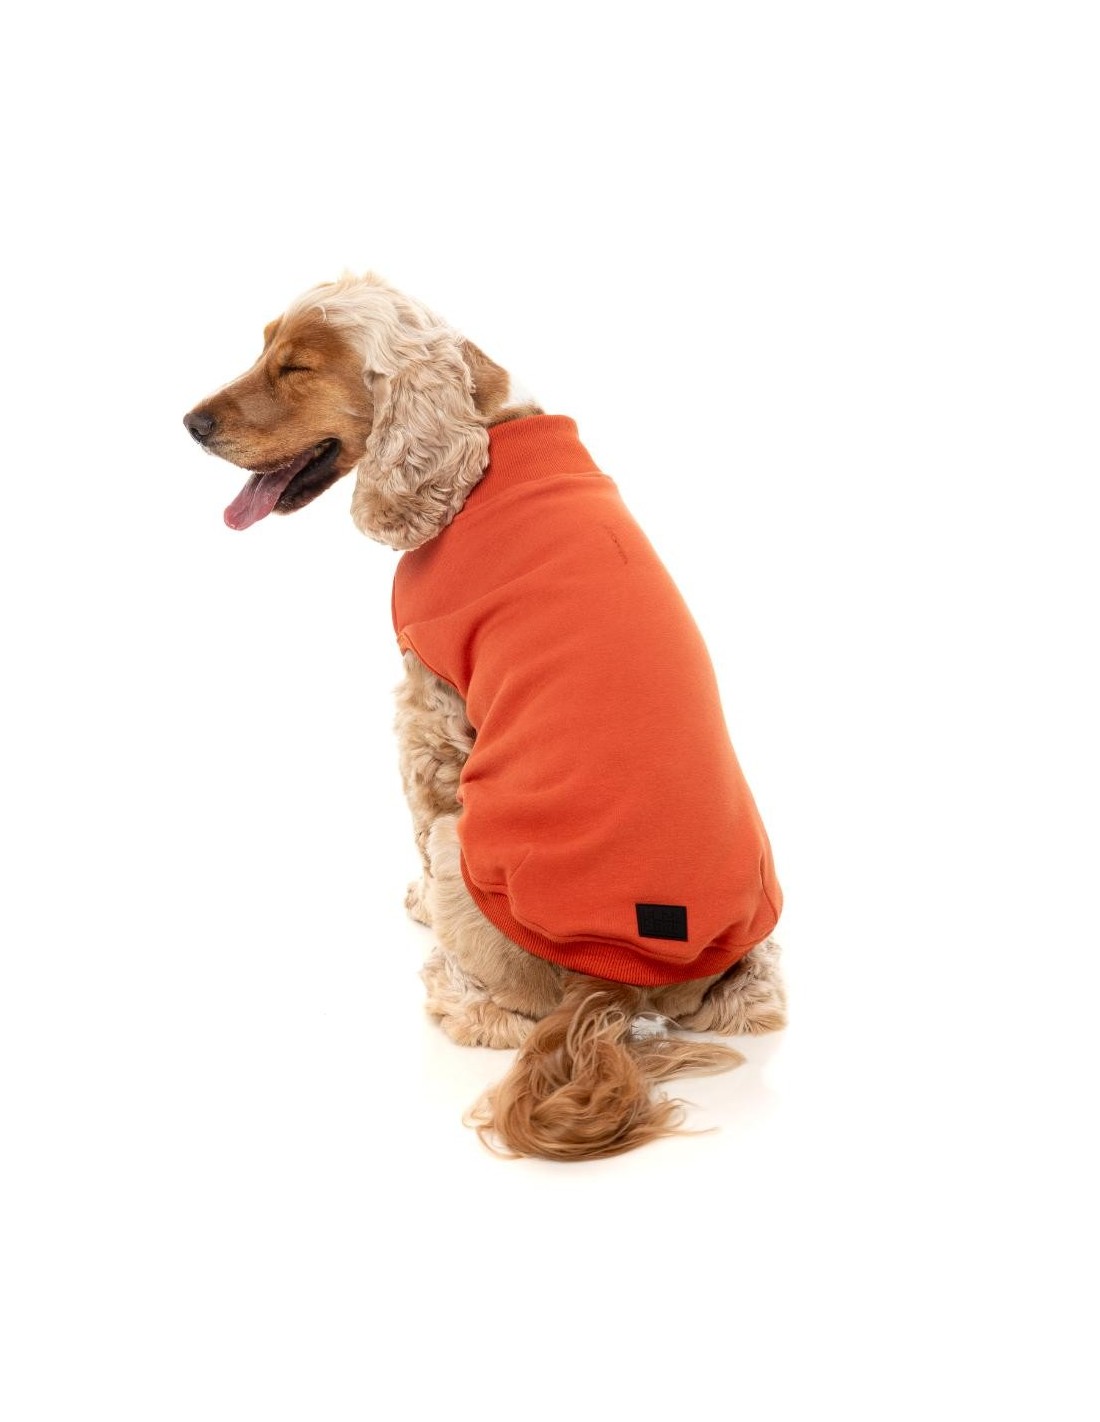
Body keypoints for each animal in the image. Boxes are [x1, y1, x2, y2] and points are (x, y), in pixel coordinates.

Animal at [184, 273, 787, 1160]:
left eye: (296, 367)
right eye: (263, 348)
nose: (190, 423)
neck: (486, 439)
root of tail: (611, 985)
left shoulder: (430, 708)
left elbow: (419, 796)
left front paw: (414, 905)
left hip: (463, 850)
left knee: (497, 1017)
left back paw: (446, 976)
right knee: (760, 997)